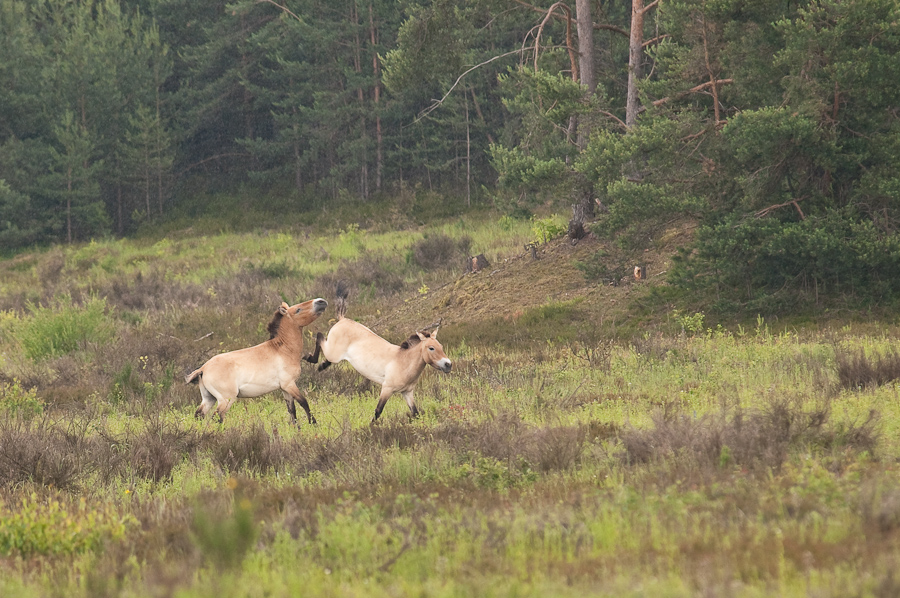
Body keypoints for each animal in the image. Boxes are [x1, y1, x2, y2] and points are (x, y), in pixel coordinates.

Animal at [185, 297, 327, 424]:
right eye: (298, 310)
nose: (321, 301)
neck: (283, 350)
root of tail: (203, 369)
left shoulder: (285, 389)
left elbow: (292, 410)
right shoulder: (290, 384)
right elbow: (304, 403)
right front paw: (313, 423)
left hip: (209, 398)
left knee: (199, 415)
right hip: (226, 399)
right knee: (217, 417)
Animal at [305, 284, 451, 422]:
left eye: (441, 346)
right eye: (431, 348)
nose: (448, 365)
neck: (403, 362)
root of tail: (342, 319)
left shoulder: (407, 392)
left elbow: (415, 413)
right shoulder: (387, 389)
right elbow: (378, 411)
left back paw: (322, 365)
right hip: (333, 353)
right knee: (319, 337)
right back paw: (310, 359)